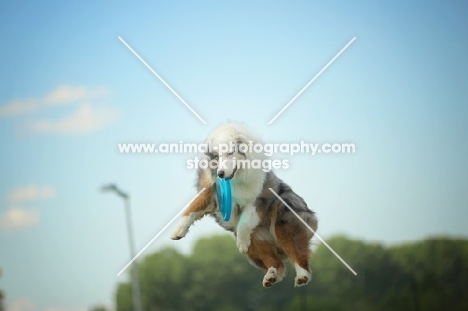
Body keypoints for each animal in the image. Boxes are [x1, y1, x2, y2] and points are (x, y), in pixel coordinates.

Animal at [172, 123, 318, 288]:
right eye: (216, 157)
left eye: (230, 153)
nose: (221, 173)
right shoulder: (209, 191)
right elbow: (191, 209)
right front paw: (178, 231)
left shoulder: (257, 199)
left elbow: (244, 223)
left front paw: (241, 244)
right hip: (258, 239)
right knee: (276, 262)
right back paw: (271, 276)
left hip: (284, 220)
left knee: (297, 253)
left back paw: (302, 276)